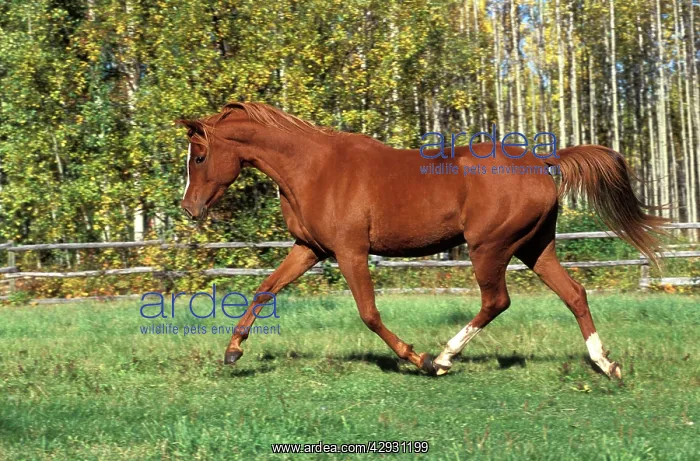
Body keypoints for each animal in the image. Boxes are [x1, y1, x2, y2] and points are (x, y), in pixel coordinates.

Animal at [177, 102, 666, 378]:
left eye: (199, 157)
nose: (188, 208)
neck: (312, 169)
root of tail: (543, 161)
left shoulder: (350, 251)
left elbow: (369, 314)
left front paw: (419, 359)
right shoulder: (310, 250)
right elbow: (264, 290)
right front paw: (233, 351)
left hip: (489, 248)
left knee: (497, 301)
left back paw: (446, 357)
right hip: (535, 248)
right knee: (574, 294)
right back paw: (607, 365)